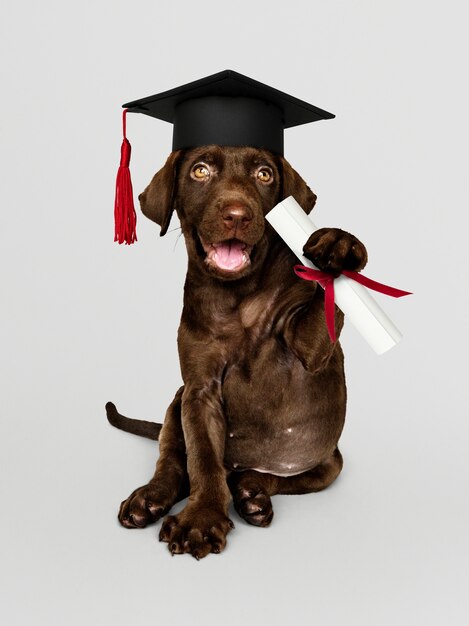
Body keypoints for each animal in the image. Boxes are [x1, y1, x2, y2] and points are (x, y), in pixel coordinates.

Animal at [106, 144, 366, 560]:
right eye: (200, 171)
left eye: (264, 174)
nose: (237, 215)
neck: (238, 297)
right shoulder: (199, 390)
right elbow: (203, 459)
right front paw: (201, 519)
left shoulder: (309, 350)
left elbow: (325, 302)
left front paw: (340, 245)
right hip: (176, 401)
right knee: (174, 461)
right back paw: (151, 497)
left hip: (328, 462)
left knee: (279, 477)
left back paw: (252, 492)